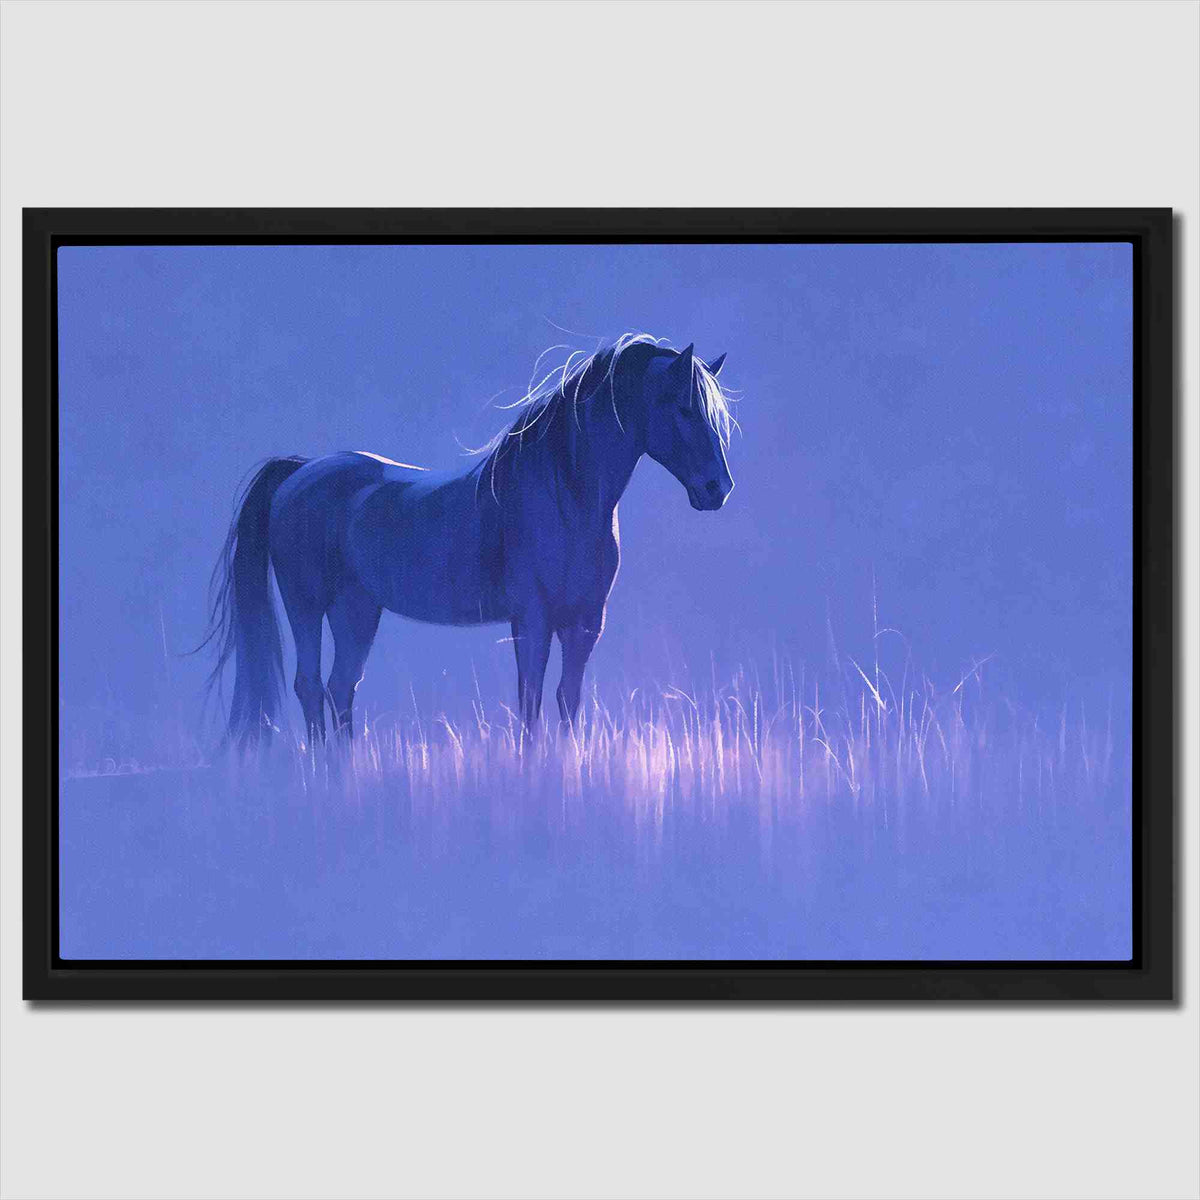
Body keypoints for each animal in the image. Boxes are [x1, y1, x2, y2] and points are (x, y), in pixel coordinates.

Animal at [202, 334, 736, 746]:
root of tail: (300, 471)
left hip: (356, 610)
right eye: (684, 408)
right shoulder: (532, 621)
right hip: (306, 605)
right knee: (311, 687)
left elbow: (567, 701)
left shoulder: (585, 625)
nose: (717, 488)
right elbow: (530, 703)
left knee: (340, 688)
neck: (565, 494)